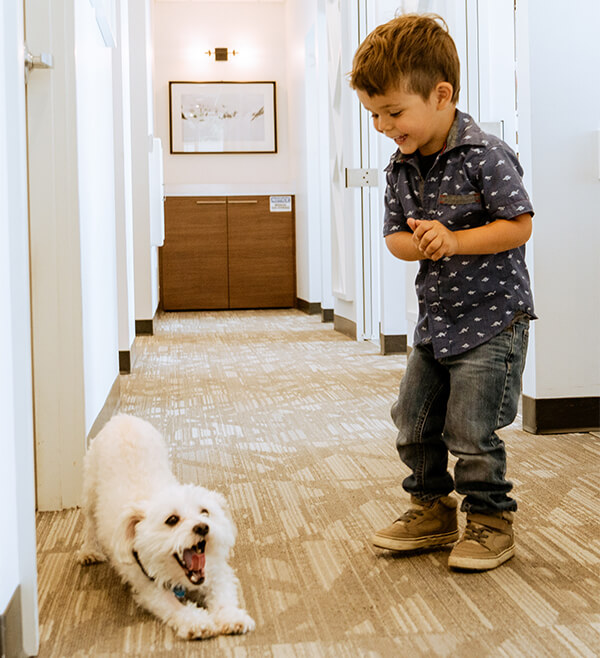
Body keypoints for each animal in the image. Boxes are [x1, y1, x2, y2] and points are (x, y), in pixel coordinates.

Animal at [76, 412, 254, 640]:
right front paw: (197, 622)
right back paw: (89, 551)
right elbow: (174, 606)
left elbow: (223, 595)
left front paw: (232, 617)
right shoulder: (150, 587)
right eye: (172, 520)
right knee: (90, 524)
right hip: (90, 491)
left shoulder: (216, 572)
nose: (202, 527)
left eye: (205, 512)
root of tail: (123, 417)